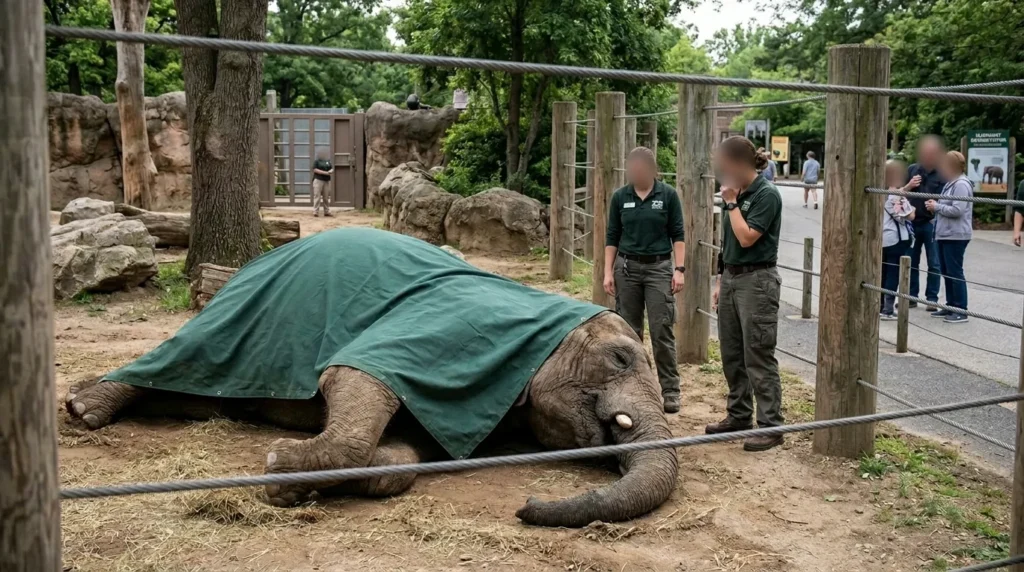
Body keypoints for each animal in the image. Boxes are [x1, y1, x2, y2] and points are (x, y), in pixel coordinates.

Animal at [65, 228, 679, 528]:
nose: (526, 507)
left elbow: (407, 457)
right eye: (621, 359)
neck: (544, 327)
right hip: (231, 321)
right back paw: (82, 408)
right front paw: (280, 471)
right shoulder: (457, 335)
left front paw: (334, 476)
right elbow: (353, 375)